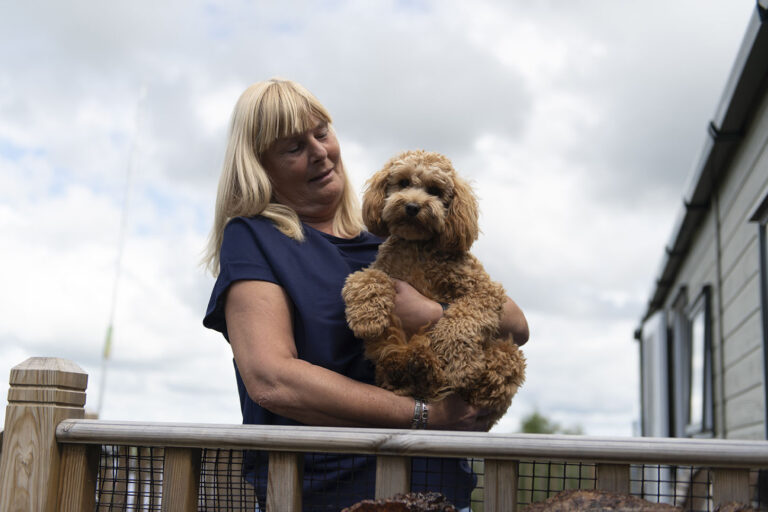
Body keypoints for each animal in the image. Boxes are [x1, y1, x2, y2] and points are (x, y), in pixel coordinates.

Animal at [344, 149, 524, 428]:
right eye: (403, 182)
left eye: (435, 190)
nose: (412, 207)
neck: (418, 248)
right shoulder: (385, 270)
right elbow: (365, 279)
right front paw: (367, 318)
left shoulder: (485, 290)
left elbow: (463, 316)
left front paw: (460, 363)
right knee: (401, 372)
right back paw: (411, 363)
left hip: (508, 351)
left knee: (490, 382)